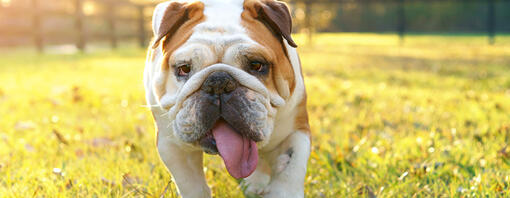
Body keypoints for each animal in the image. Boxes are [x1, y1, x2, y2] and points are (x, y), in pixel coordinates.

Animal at [143, 0, 310, 196]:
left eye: (256, 65)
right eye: (184, 68)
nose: (218, 82)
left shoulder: (296, 129)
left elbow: (291, 171)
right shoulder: (172, 146)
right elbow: (191, 184)